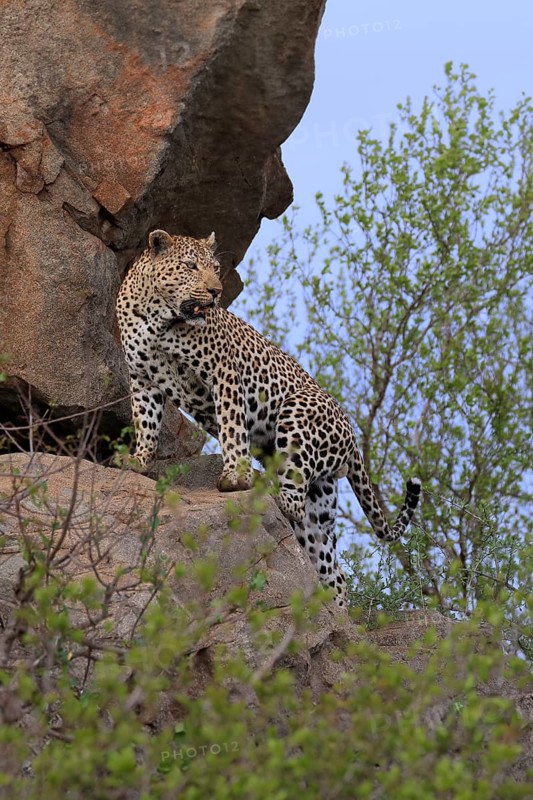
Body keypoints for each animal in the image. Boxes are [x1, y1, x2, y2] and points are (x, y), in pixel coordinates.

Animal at [116, 229, 421, 607]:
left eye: (216, 267)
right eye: (190, 266)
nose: (216, 291)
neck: (158, 318)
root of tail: (351, 438)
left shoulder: (224, 373)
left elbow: (232, 428)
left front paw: (235, 476)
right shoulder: (142, 378)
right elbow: (145, 421)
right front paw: (140, 460)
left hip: (297, 412)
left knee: (292, 503)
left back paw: (267, 487)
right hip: (319, 503)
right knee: (330, 565)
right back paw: (334, 615)